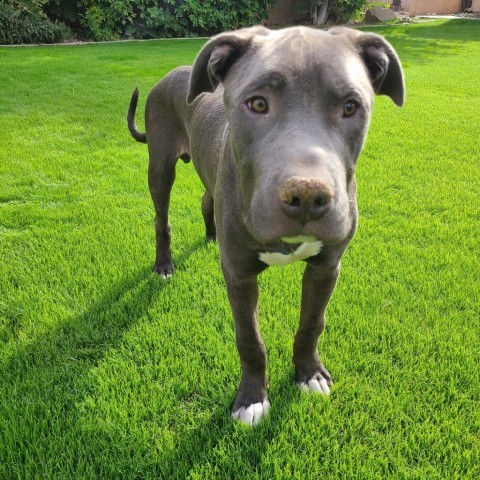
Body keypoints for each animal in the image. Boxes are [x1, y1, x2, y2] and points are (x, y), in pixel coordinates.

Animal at [125, 24, 404, 426]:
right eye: (257, 103)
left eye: (351, 107)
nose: (307, 195)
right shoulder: (240, 276)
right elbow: (249, 339)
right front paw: (252, 398)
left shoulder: (326, 267)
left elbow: (312, 324)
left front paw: (309, 373)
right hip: (159, 166)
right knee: (162, 220)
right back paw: (164, 264)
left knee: (207, 198)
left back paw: (212, 236)